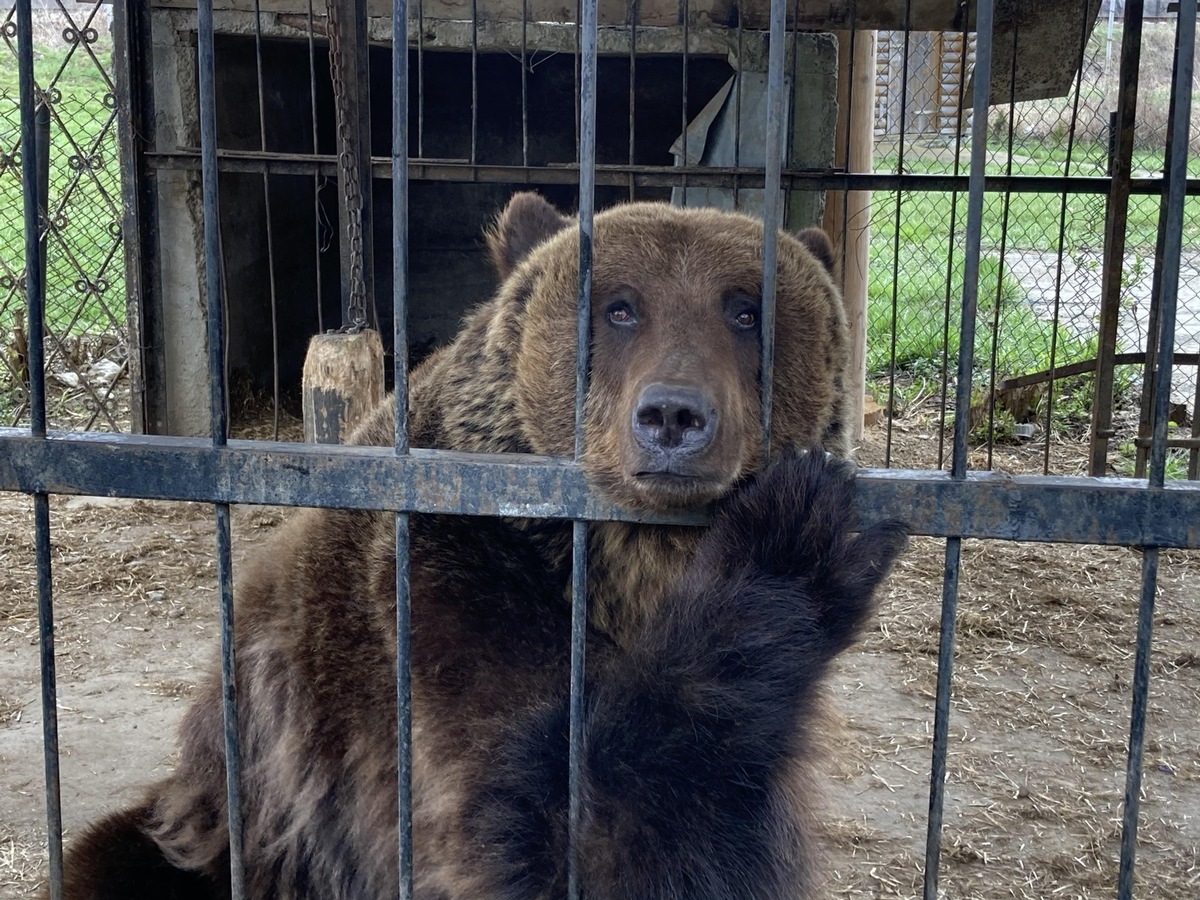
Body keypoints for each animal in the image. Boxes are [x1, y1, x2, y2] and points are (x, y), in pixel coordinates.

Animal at [54, 194, 902, 897]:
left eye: (746, 311)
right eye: (620, 308)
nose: (673, 415)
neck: (622, 574)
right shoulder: (447, 590)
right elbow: (555, 834)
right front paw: (797, 532)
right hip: (234, 820)